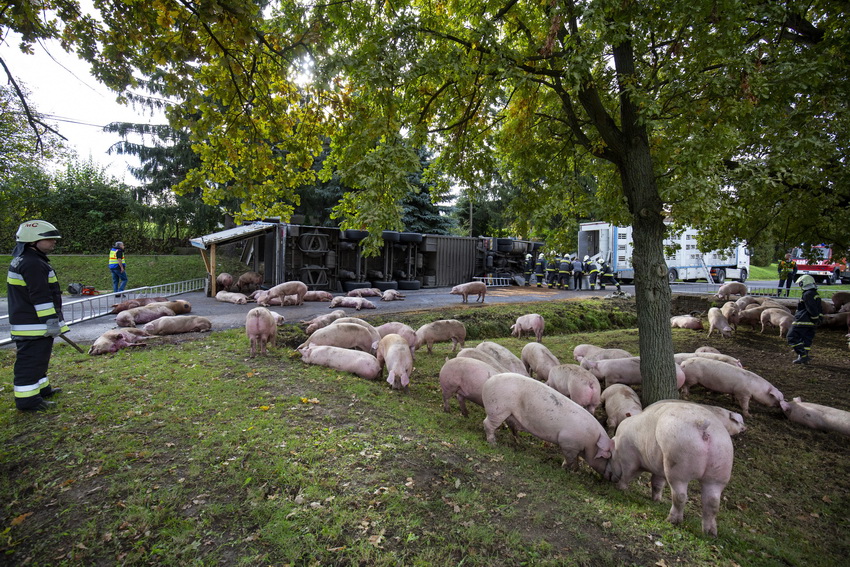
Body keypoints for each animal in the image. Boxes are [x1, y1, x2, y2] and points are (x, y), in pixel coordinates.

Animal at [600, 400, 732, 536]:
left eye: (609, 457)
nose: (605, 475)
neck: (618, 447)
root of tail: (702, 425)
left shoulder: (629, 459)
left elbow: (627, 474)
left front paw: (620, 487)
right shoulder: (659, 470)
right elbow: (657, 483)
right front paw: (656, 500)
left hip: (678, 464)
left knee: (680, 496)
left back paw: (671, 520)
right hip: (720, 470)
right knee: (713, 502)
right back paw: (710, 533)